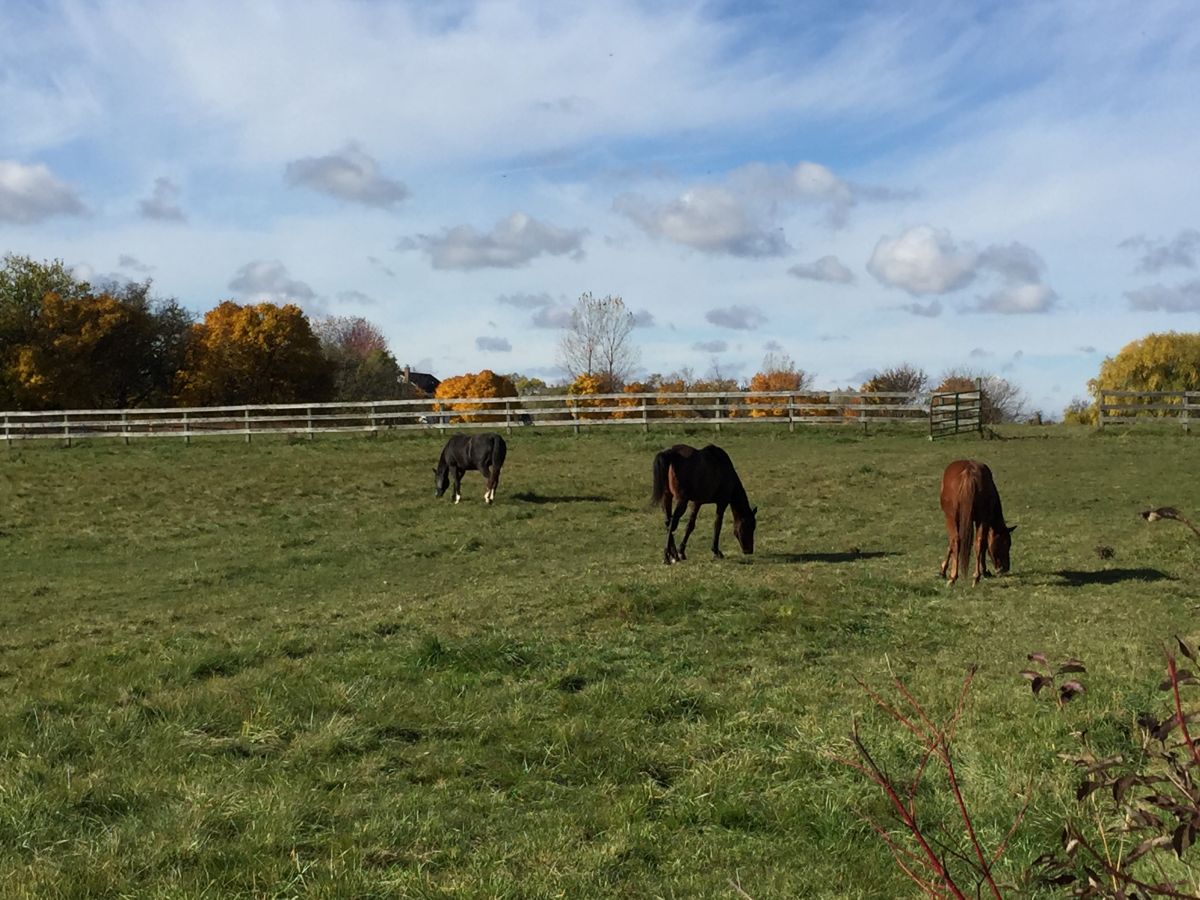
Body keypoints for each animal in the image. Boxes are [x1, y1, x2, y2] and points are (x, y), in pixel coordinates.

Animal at [936, 460, 1012, 588]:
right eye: (1004, 543)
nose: (1004, 568)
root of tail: (969, 472)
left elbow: (951, 544)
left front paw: (943, 570)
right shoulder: (983, 520)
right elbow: (983, 544)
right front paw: (984, 571)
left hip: (952, 517)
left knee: (956, 541)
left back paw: (953, 577)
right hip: (980, 518)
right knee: (979, 542)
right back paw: (976, 577)